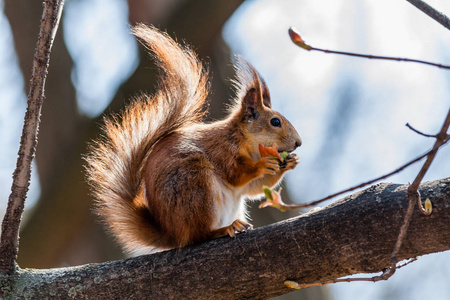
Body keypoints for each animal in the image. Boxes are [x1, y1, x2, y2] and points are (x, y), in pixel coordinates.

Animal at [85, 24, 302, 254]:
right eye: (275, 122)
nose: (299, 143)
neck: (247, 143)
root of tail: (173, 235)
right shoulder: (222, 149)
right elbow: (235, 174)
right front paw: (262, 164)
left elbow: (254, 189)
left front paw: (290, 163)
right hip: (195, 187)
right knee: (199, 235)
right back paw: (223, 229)